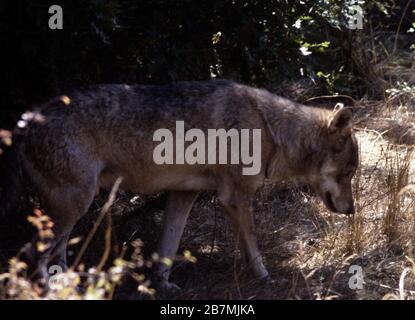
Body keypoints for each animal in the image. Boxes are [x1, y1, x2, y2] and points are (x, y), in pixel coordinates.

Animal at [0, 79, 360, 292]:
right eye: (348, 174)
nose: (352, 209)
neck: (272, 132)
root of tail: (28, 120)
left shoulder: (184, 194)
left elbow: (167, 250)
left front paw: (162, 286)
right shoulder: (236, 198)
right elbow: (253, 249)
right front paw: (265, 278)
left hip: (71, 215)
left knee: (55, 257)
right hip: (74, 207)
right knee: (34, 259)